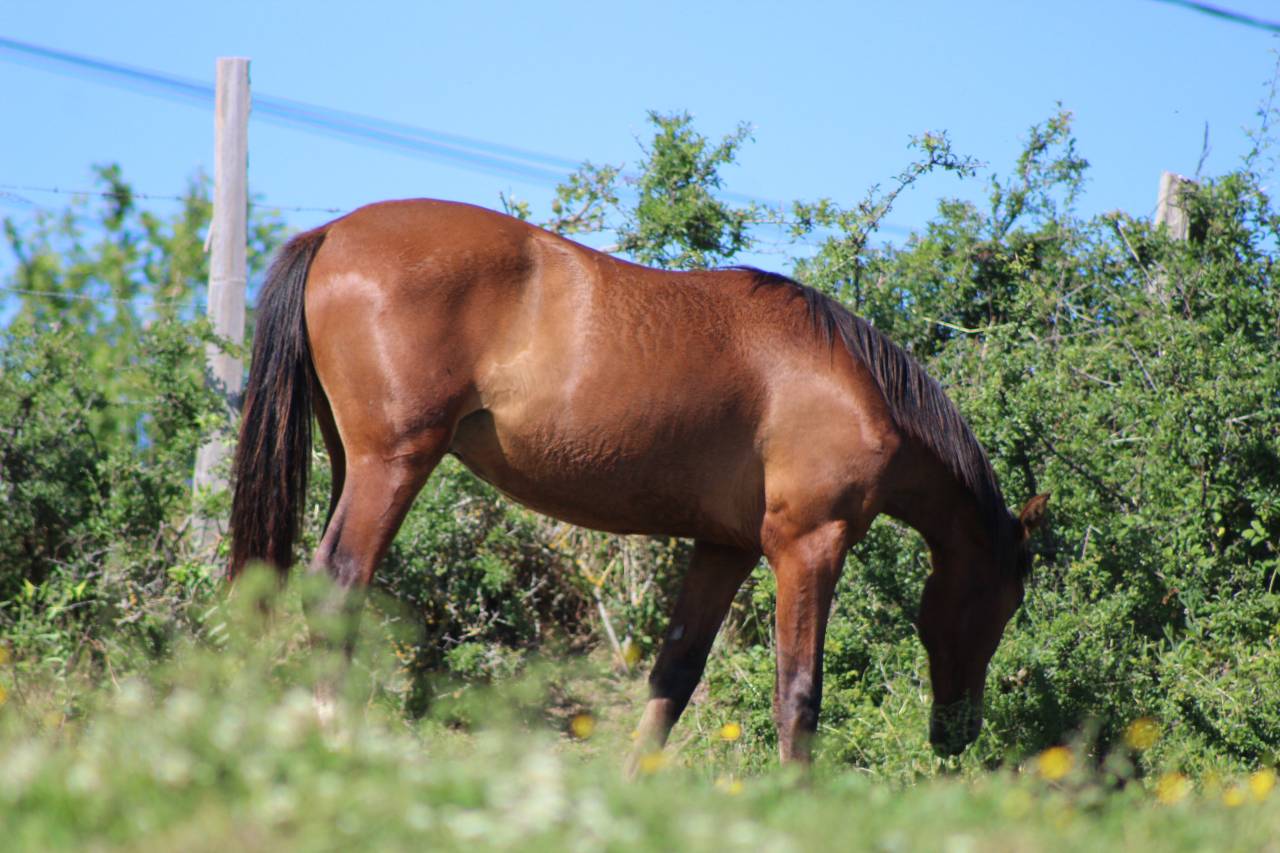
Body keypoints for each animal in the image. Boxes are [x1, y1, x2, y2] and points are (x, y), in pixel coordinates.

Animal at [228, 198, 1048, 765]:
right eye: (1005, 602)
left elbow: (672, 678)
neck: (851, 384)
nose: (956, 734)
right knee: (339, 583)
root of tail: (333, 233)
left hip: (353, 462)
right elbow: (798, 695)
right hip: (393, 463)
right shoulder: (809, 545)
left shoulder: (725, 548)